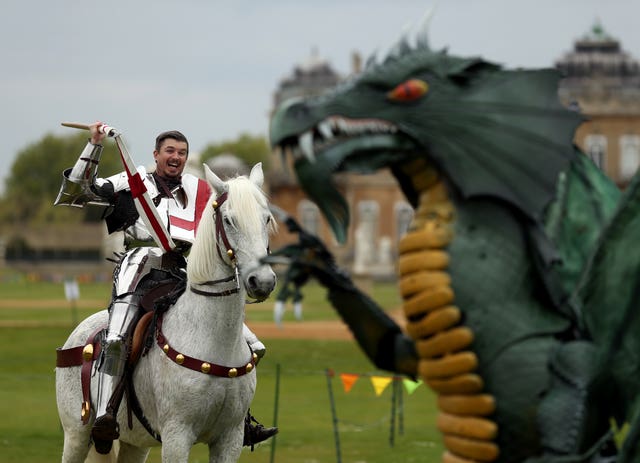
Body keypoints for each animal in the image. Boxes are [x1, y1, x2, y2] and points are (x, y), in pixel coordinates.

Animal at [54, 164, 276, 463]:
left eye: (266, 219)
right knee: (114, 346)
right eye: (230, 221)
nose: (262, 281)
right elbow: (83, 188)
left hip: (135, 443)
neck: (213, 340)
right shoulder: (177, 436)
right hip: (76, 436)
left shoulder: (229, 437)